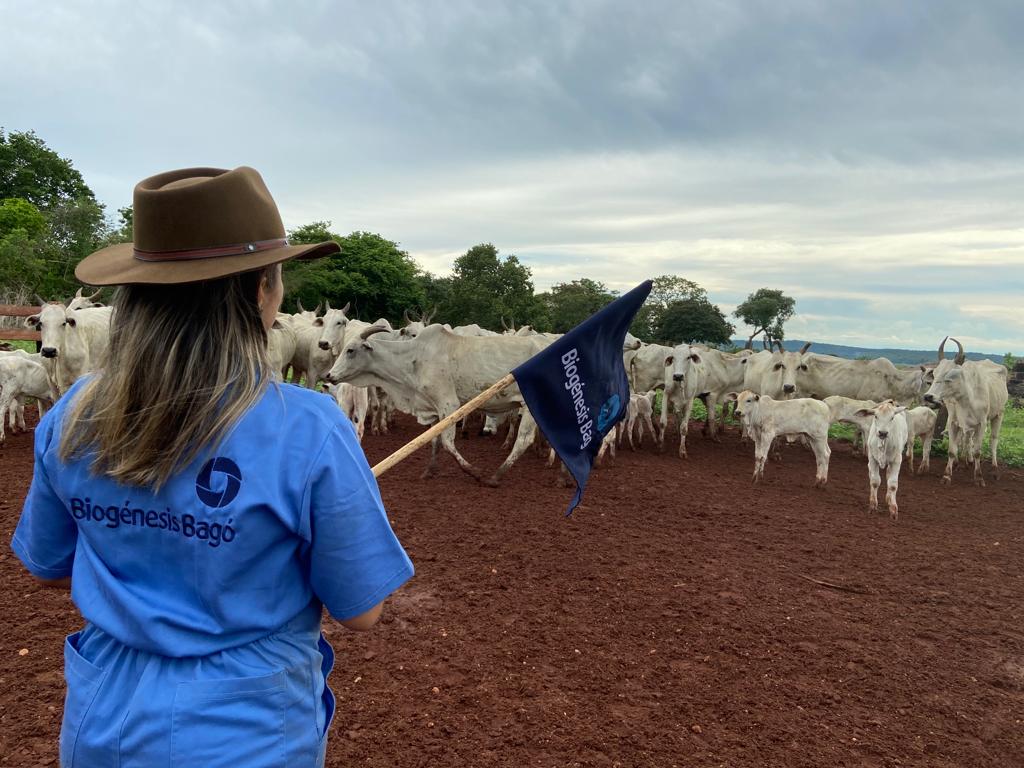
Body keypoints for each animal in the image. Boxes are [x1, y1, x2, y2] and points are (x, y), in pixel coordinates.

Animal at [325, 325, 552, 487]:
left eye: (351, 350)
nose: (329, 375)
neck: (414, 359)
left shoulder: (449, 404)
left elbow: (447, 442)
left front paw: (475, 472)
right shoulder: (433, 409)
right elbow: (434, 441)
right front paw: (429, 471)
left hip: (530, 406)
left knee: (523, 440)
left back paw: (496, 476)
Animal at [921, 337, 1007, 487]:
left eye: (949, 377)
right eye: (935, 374)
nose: (928, 397)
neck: (965, 397)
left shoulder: (982, 424)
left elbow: (978, 451)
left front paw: (979, 477)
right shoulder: (953, 422)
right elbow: (952, 450)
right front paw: (947, 475)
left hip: (999, 414)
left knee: (993, 441)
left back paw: (994, 469)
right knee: (966, 439)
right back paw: (964, 462)